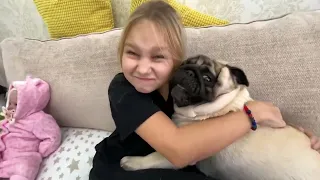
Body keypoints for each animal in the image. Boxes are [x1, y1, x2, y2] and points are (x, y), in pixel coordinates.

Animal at [119, 54, 320, 180]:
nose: (188, 70)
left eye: (208, 78)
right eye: (185, 63)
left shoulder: (180, 154)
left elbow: (153, 157)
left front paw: (131, 162)